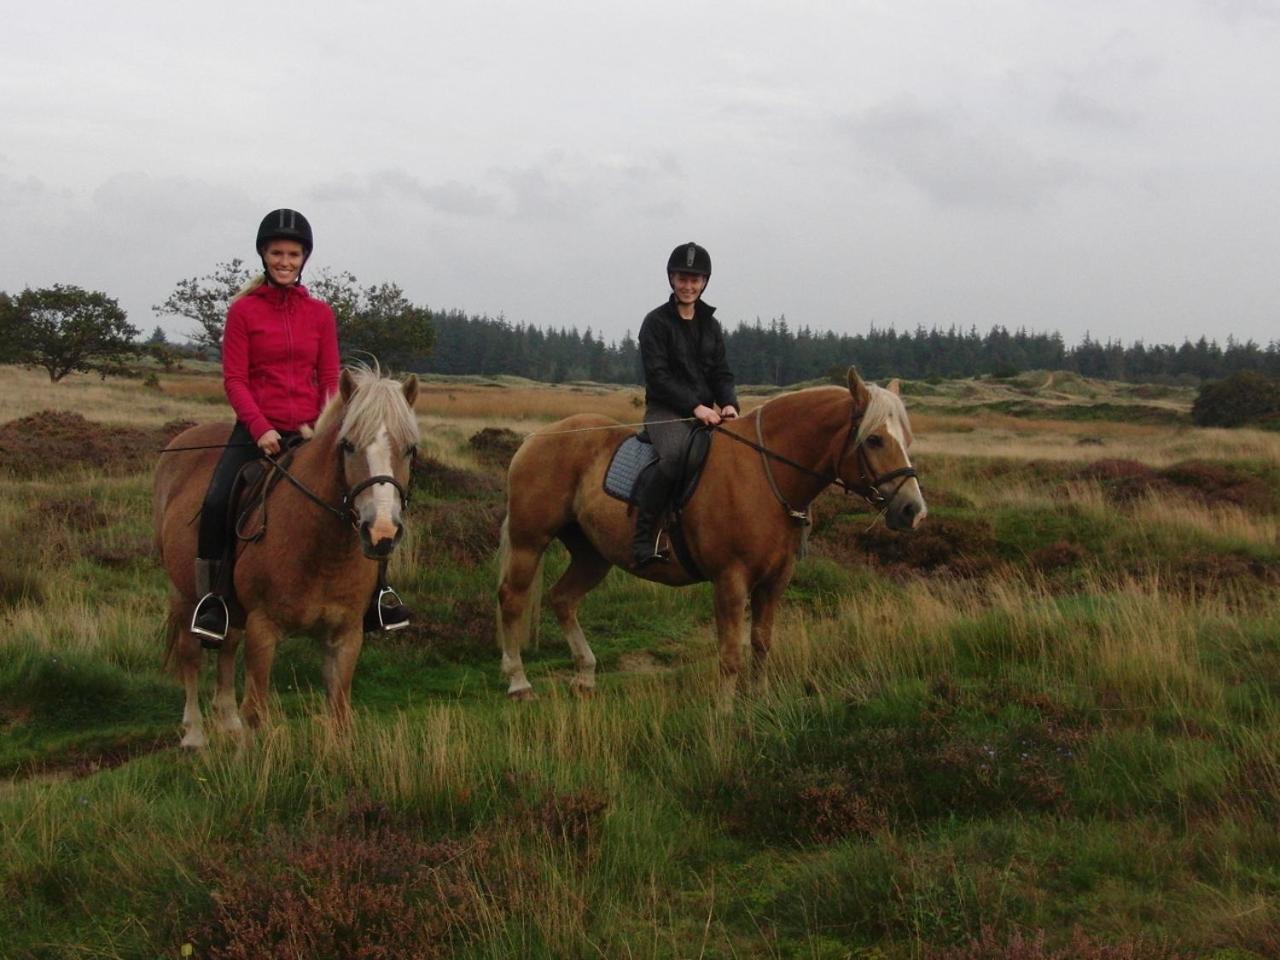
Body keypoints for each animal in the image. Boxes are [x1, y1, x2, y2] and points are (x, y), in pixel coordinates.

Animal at [152, 363, 417, 747]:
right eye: (348, 445)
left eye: (410, 449)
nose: (381, 532)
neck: (323, 552)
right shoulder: (263, 629)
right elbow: (256, 713)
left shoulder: (346, 636)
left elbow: (339, 712)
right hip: (183, 593)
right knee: (191, 654)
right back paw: (194, 735)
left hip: (231, 607)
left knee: (227, 648)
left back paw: (226, 721)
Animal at [494, 368, 926, 701]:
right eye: (874, 439)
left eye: (907, 439)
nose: (913, 510)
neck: (765, 474)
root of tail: (536, 437)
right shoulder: (730, 580)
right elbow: (730, 653)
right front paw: (725, 711)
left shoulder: (775, 581)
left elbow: (762, 643)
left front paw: (759, 698)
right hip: (530, 542)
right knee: (512, 600)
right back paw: (519, 682)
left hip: (592, 554)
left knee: (563, 599)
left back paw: (585, 675)